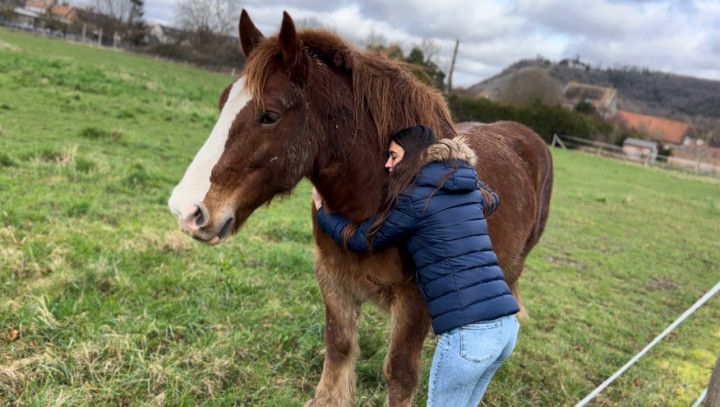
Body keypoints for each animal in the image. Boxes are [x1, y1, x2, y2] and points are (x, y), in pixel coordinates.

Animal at [167, 10, 553, 406]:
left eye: (270, 115)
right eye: (222, 102)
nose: (187, 210)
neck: (373, 198)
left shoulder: (415, 300)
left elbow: (400, 375)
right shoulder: (333, 279)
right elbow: (339, 347)